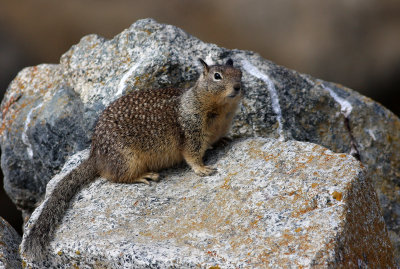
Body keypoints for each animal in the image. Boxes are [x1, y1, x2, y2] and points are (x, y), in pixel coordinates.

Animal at [21, 57, 244, 258]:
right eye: (217, 76)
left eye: (240, 73)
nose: (238, 87)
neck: (219, 109)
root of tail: (95, 155)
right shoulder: (191, 131)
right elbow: (192, 155)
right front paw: (203, 169)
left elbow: (217, 139)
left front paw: (225, 140)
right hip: (127, 158)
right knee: (116, 176)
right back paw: (144, 176)